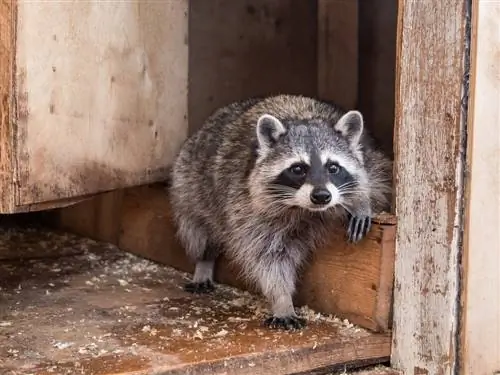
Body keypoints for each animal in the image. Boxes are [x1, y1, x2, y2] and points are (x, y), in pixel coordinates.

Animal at [170, 94, 392, 332]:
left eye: (333, 167)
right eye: (298, 169)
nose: (322, 196)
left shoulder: (369, 156)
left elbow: (376, 181)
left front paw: (361, 201)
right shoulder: (246, 207)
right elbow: (268, 258)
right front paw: (282, 299)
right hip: (189, 185)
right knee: (198, 230)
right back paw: (204, 261)